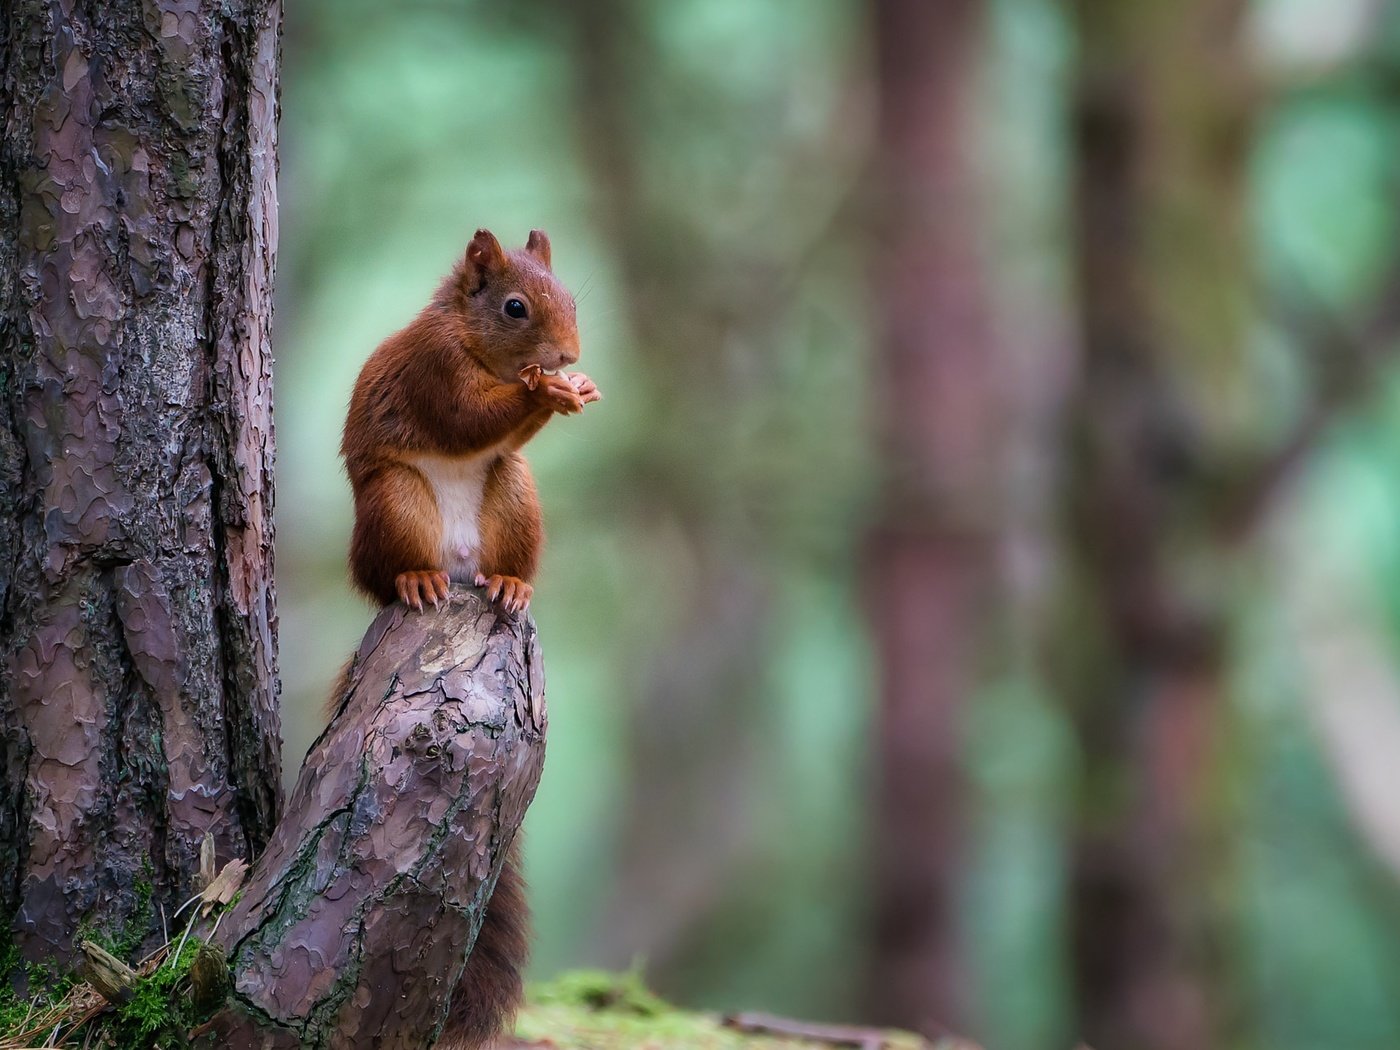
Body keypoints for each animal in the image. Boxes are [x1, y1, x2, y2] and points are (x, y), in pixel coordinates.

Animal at [341, 229, 599, 1050]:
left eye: (571, 298)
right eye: (515, 307)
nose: (568, 354)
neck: (475, 345)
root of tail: (459, 568)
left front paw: (573, 388)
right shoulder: (434, 372)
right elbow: (460, 418)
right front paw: (544, 391)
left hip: (514, 493)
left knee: (507, 526)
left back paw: (511, 586)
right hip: (393, 504)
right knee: (398, 564)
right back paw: (417, 581)